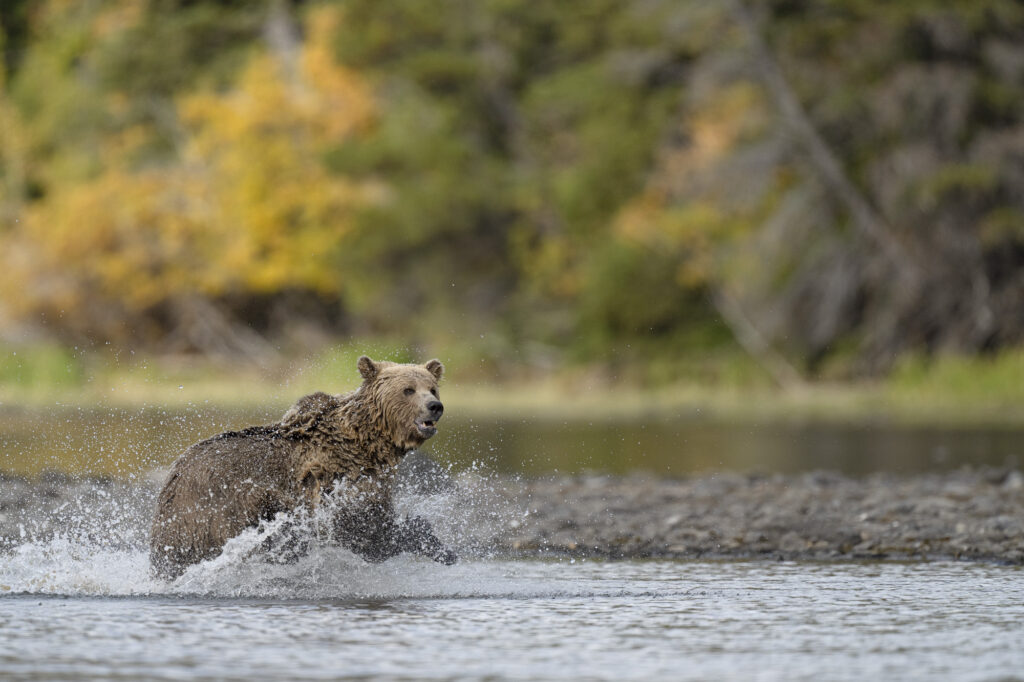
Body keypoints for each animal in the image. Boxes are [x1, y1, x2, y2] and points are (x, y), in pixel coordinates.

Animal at [149, 356, 456, 580]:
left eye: (432, 388)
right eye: (408, 390)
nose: (435, 406)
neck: (369, 443)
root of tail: (172, 480)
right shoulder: (338, 478)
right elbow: (363, 531)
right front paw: (429, 539)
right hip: (214, 508)